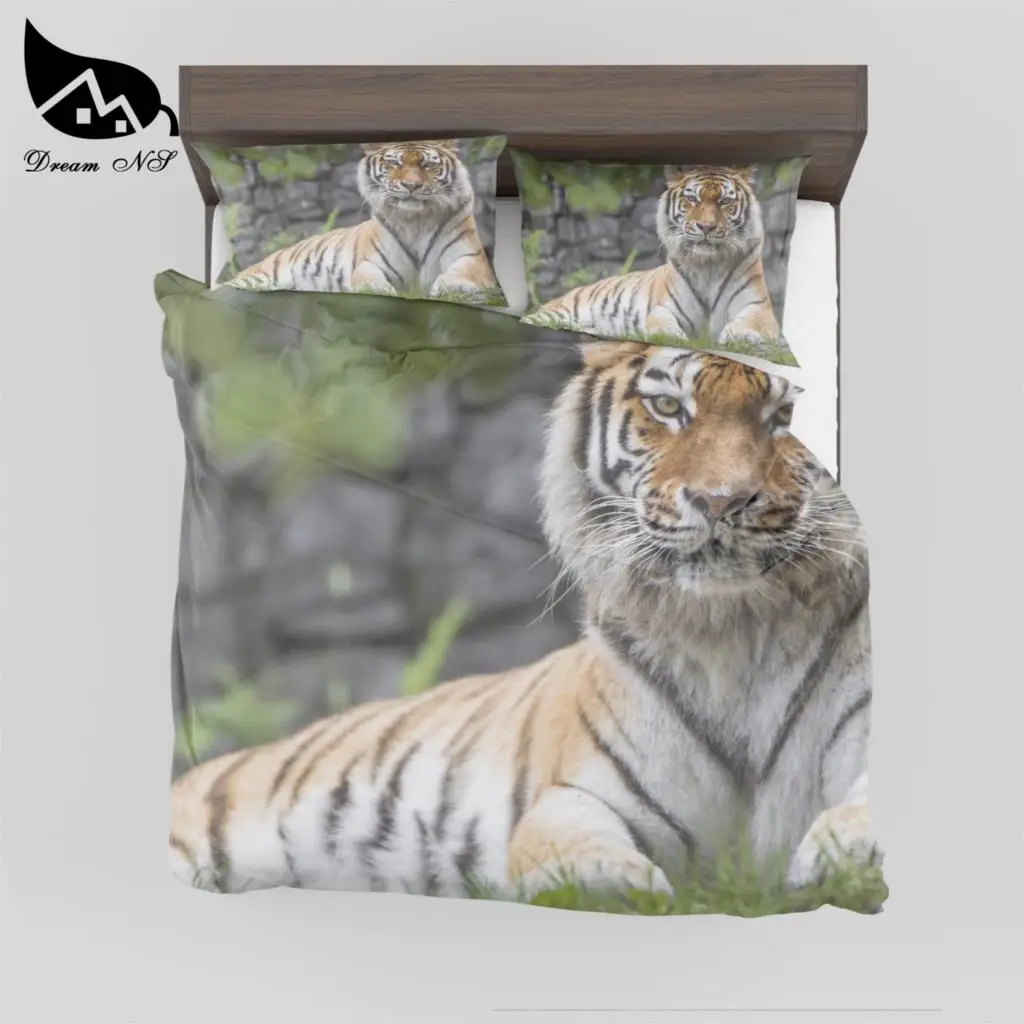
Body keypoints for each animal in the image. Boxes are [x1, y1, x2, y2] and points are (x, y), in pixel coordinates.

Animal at [168, 342, 879, 900]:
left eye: (785, 415)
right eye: (669, 407)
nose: (721, 501)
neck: (733, 632)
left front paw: (839, 857)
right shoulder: (578, 795)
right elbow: (572, 850)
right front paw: (611, 886)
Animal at [221, 141, 501, 303]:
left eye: (427, 164)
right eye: (394, 163)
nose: (411, 186)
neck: (415, 221)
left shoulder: (472, 259)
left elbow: (457, 276)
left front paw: (447, 288)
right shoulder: (371, 264)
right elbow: (371, 282)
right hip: (259, 277)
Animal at [524, 167, 781, 352]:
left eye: (725, 202)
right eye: (692, 199)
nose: (706, 226)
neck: (708, 265)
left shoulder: (759, 308)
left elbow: (750, 322)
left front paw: (737, 335)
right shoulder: (663, 308)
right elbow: (664, 326)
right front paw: (672, 338)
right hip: (558, 311)